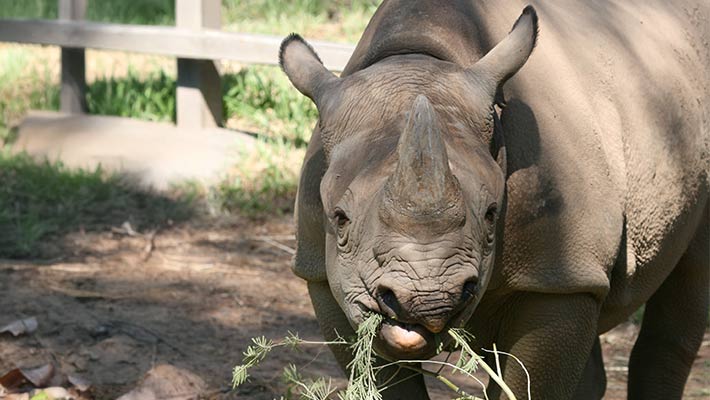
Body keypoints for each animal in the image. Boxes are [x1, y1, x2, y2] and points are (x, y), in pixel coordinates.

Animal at [279, 0, 709, 398]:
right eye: (339, 218)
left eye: (491, 214)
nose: (428, 301)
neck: (416, 59)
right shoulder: (322, 275)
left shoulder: (557, 276)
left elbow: (529, 383)